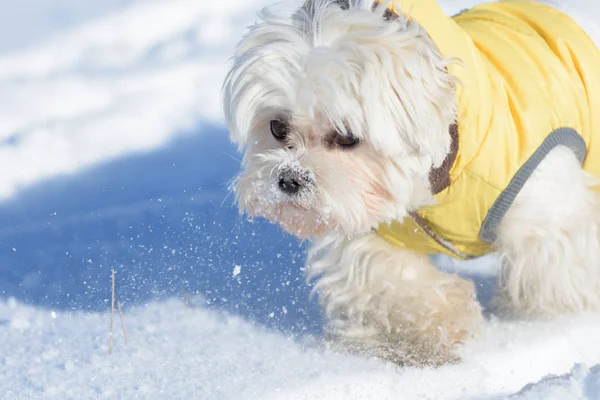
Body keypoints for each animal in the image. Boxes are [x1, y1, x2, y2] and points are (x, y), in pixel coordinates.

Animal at [223, 0, 600, 368]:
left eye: (346, 137)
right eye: (277, 127)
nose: (289, 179)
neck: (441, 182)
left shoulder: (547, 216)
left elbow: (553, 276)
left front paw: (539, 325)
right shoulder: (377, 236)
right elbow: (397, 283)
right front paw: (434, 334)